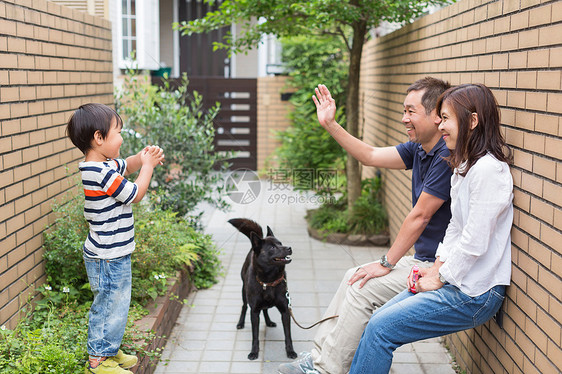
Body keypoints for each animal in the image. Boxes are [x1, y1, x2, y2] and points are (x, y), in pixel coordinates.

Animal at [228, 218, 298, 360]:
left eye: (280, 243)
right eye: (272, 247)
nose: (289, 248)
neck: (269, 281)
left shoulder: (285, 311)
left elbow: (288, 335)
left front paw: (290, 351)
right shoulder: (254, 312)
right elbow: (255, 336)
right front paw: (254, 352)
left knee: (265, 309)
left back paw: (269, 321)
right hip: (244, 291)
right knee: (244, 306)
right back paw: (240, 323)